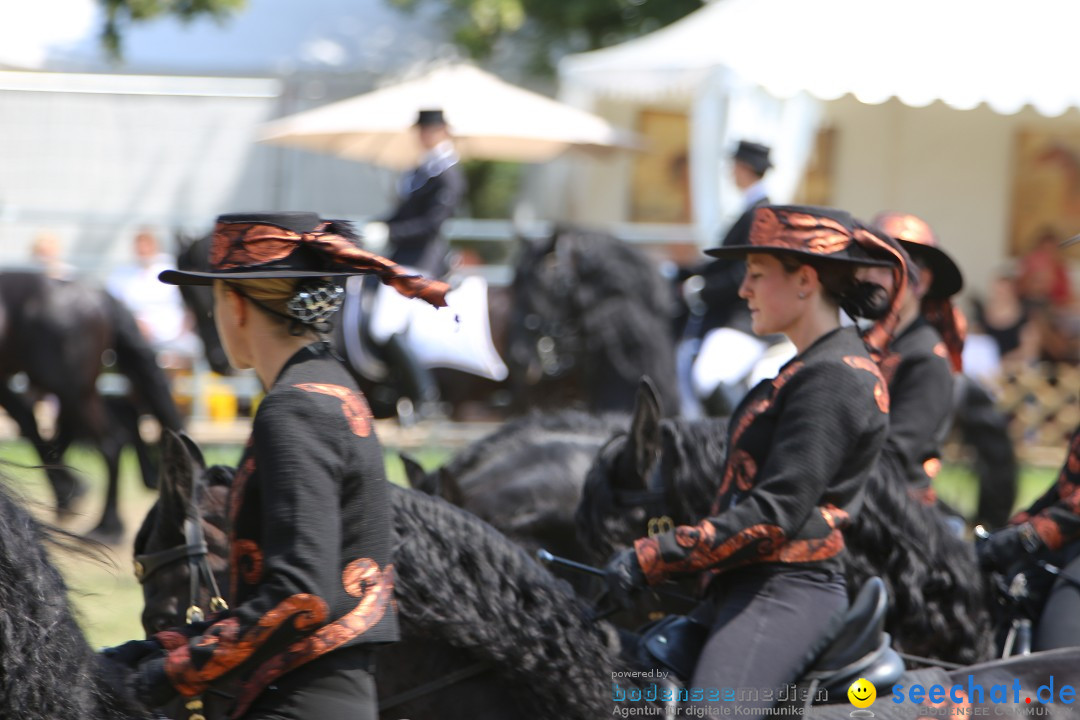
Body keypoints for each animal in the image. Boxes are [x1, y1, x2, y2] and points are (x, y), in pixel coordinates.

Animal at [0, 269, 183, 539]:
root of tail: (100, 296)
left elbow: (29, 425)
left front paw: (69, 491)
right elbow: (29, 423)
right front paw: (68, 492)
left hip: (72, 390)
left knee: (112, 442)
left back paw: (107, 525)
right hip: (77, 390)